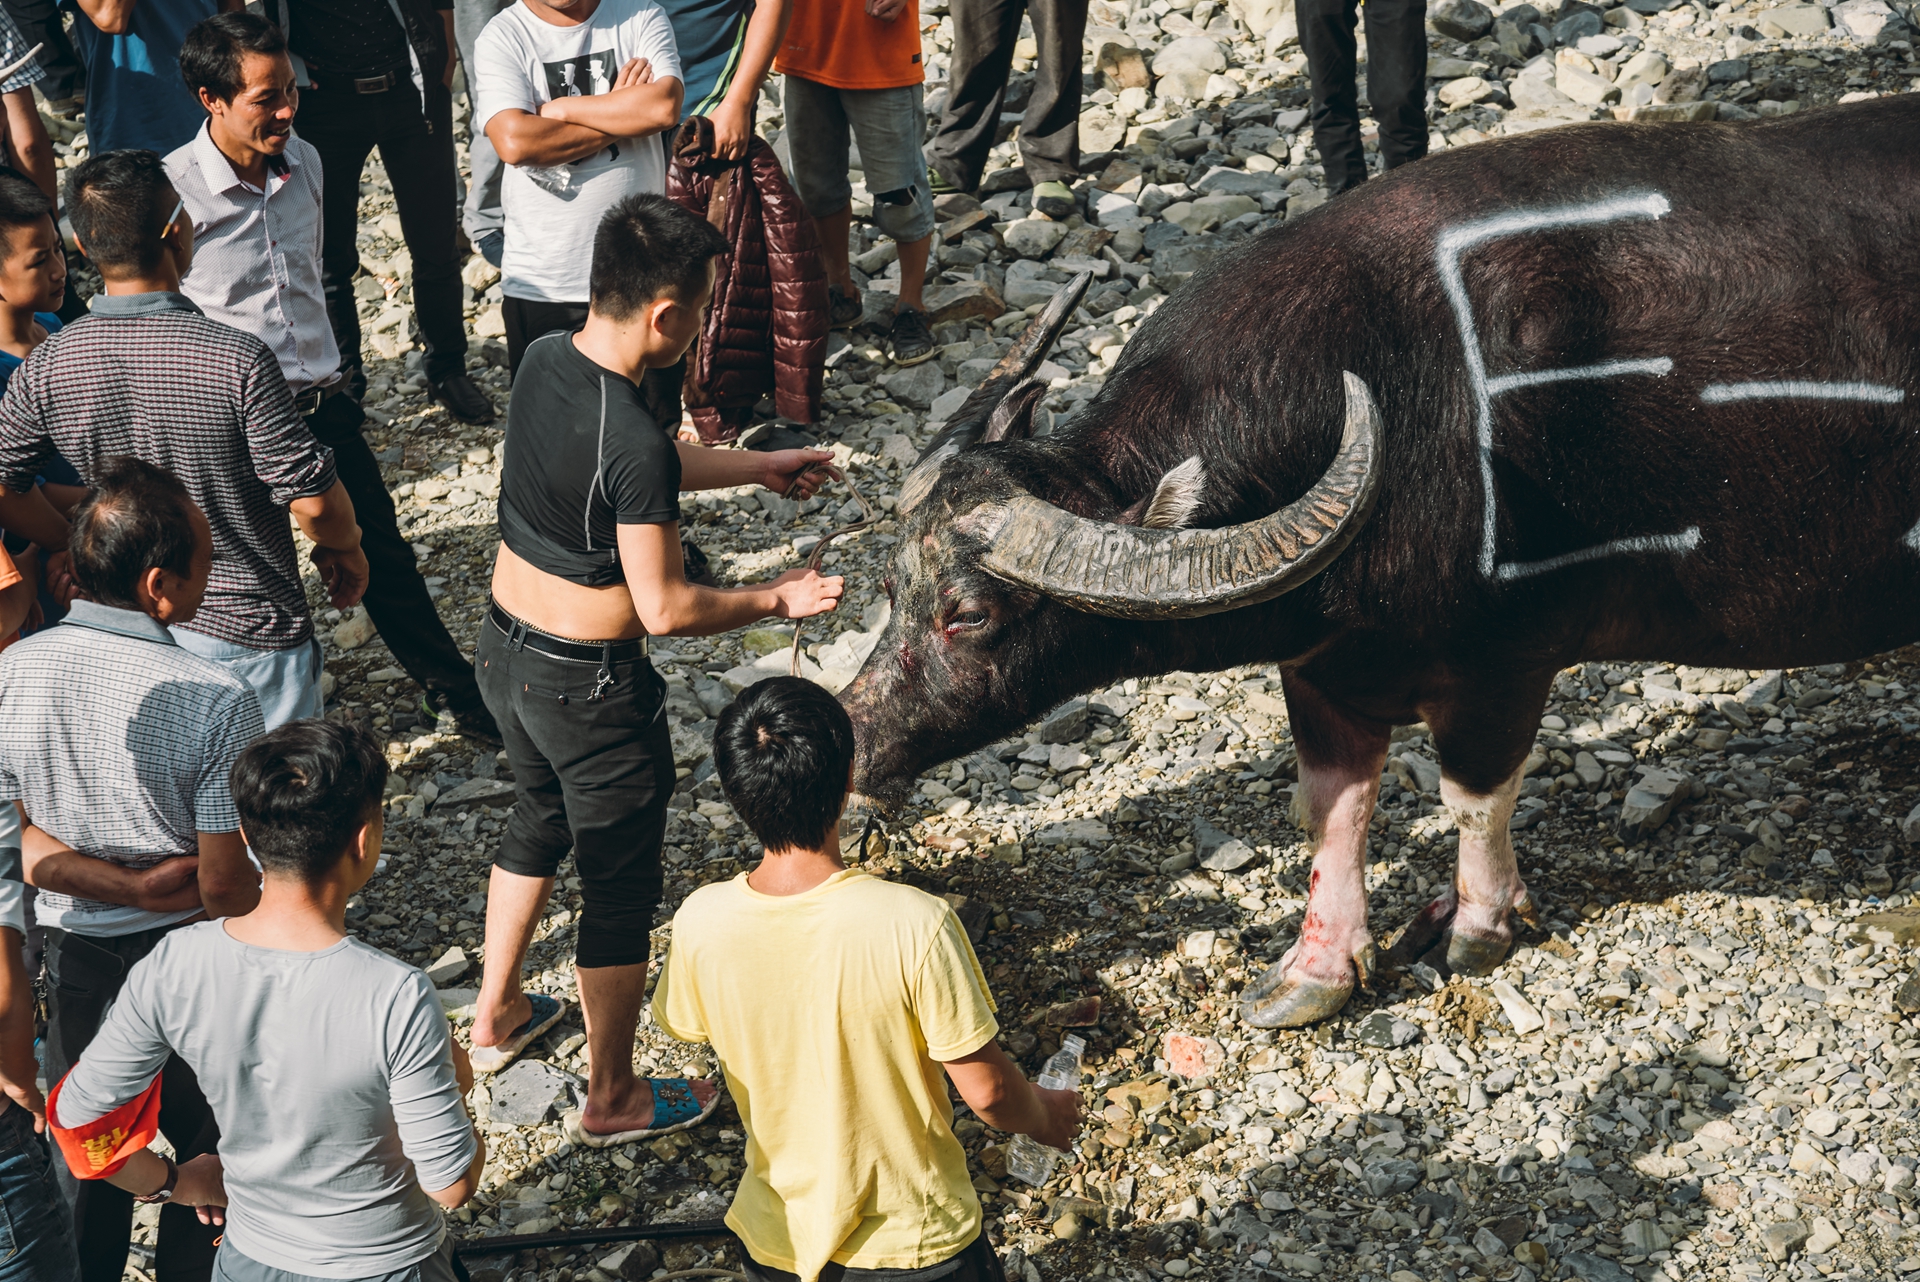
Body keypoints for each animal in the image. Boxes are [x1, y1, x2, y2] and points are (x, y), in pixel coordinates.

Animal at [840, 94, 1920, 1028]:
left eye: (969, 613)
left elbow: (1473, 797)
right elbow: (1332, 807)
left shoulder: (1504, 665)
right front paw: (1314, 972)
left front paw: (1479, 929)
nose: (854, 736)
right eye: (891, 586)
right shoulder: (1323, 671)